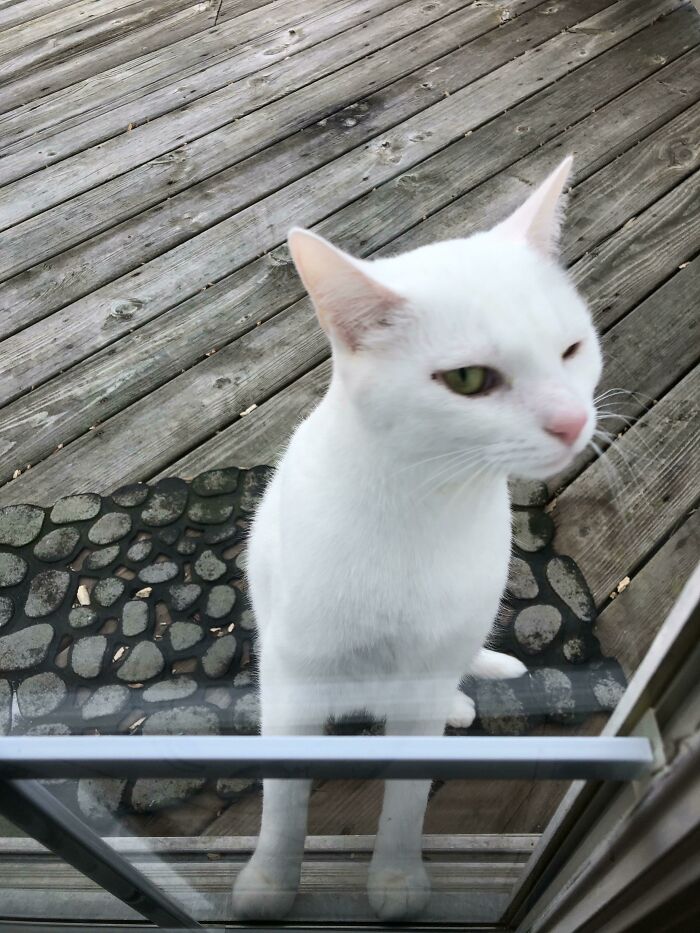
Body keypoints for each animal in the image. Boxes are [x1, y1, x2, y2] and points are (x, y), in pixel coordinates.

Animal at [234, 157, 600, 920]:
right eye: (467, 379)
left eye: (571, 350)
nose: (572, 421)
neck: (422, 505)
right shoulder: (293, 682)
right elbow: (285, 803)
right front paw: (270, 883)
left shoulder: (423, 676)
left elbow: (406, 798)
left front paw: (398, 878)